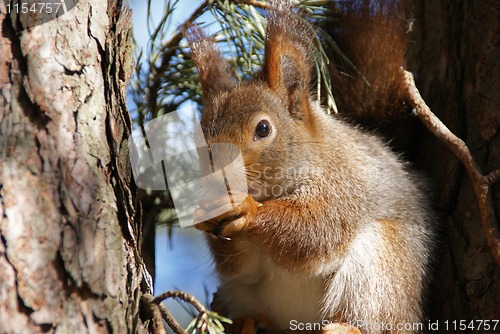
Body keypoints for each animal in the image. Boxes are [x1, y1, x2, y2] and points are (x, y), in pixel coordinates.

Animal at [187, 1, 434, 332]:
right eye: (199, 137)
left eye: (263, 129)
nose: (216, 181)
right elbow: (241, 268)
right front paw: (204, 213)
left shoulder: (343, 183)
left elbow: (314, 230)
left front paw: (248, 209)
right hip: (238, 294)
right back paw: (250, 323)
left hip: (381, 269)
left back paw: (344, 327)